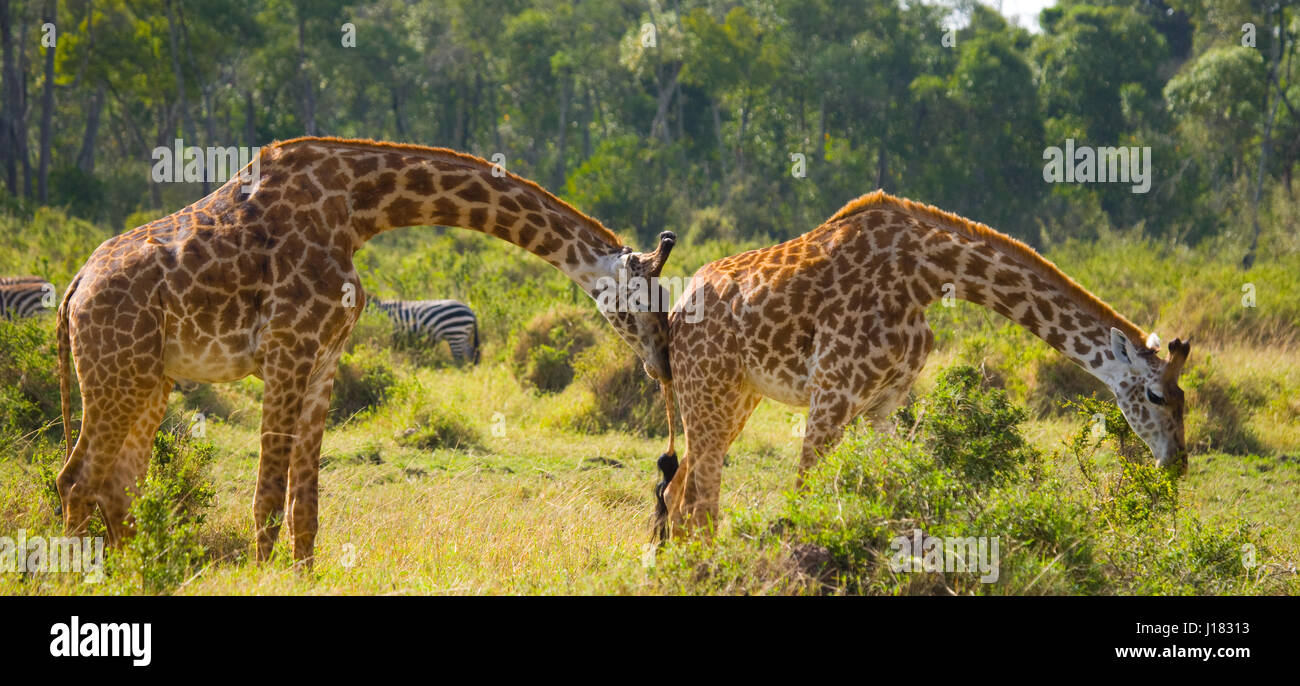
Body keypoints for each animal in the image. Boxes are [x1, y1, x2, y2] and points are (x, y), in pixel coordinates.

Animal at [56, 137, 676, 564]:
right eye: (644, 300)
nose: (664, 366)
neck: (358, 210)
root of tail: (75, 287)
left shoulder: (324, 355)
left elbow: (304, 503)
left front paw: (302, 575)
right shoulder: (287, 347)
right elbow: (267, 494)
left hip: (150, 378)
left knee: (117, 486)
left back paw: (136, 572)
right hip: (116, 372)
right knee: (76, 480)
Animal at [655, 190, 1191, 538]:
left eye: (1184, 398)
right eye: (1155, 396)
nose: (1178, 464)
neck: (926, 277)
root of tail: (677, 308)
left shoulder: (883, 403)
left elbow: (888, 490)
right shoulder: (832, 394)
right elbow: (803, 498)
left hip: (737, 398)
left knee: (680, 493)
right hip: (708, 391)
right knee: (699, 501)